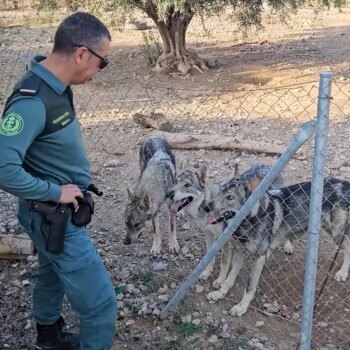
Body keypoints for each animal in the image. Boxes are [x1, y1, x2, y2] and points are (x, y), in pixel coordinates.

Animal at [206, 178, 350, 318]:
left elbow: (250, 285)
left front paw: (242, 307)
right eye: (218, 194)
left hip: (336, 233)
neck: (252, 216)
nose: (206, 207)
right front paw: (220, 293)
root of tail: (344, 183)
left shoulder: (259, 257)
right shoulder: (239, 251)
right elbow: (230, 277)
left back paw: (343, 272)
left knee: (348, 248)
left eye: (230, 197)